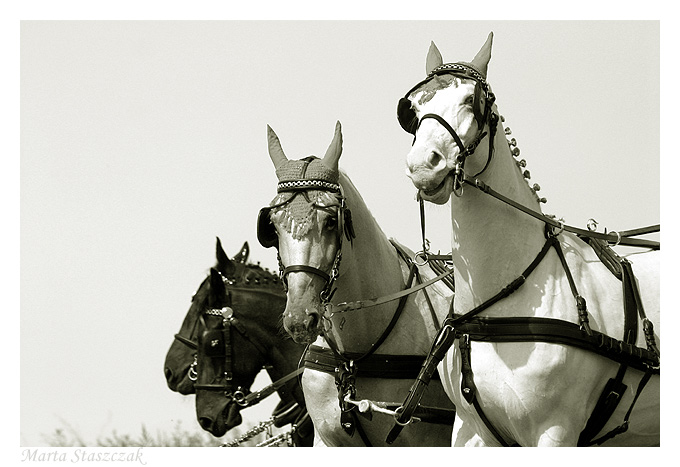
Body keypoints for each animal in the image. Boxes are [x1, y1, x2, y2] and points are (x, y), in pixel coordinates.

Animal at [398, 31, 660, 448]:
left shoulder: (555, 431)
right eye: (414, 107)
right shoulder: (470, 429)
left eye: (472, 100)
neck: (495, 305)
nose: (424, 164)